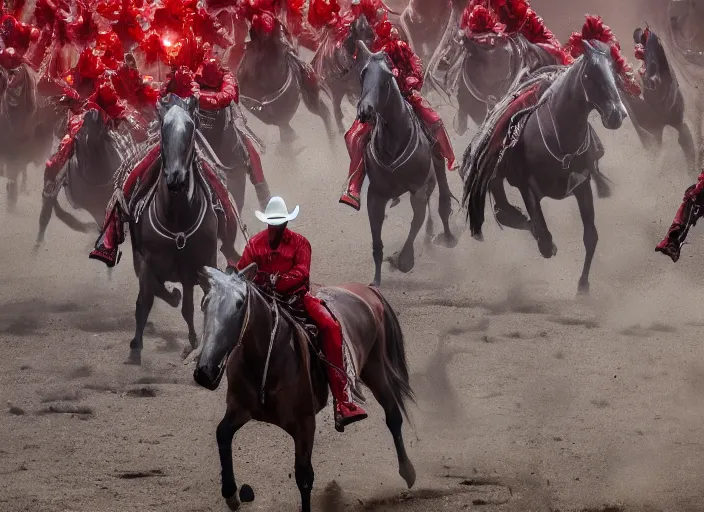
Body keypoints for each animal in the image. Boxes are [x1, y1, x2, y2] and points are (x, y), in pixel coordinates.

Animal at [125, 94, 221, 366]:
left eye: (190, 127)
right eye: (163, 127)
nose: (176, 177)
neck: (178, 222)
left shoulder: (199, 264)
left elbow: (196, 303)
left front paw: (197, 343)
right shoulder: (146, 261)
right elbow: (146, 299)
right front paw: (135, 347)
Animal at [190, 264, 416, 512]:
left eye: (240, 303)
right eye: (205, 302)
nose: (205, 372)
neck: (266, 360)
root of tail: (367, 290)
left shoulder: (304, 424)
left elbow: (304, 477)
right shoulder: (239, 410)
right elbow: (222, 433)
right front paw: (231, 493)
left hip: (374, 367)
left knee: (393, 415)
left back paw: (408, 472)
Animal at [358, 39, 456, 288]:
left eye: (387, 77)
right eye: (363, 73)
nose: (366, 110)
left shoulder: (418, 190)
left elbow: (416, 223)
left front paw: (403, 261)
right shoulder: (376, 194)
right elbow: (376, 239)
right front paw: (376, 280)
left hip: (437, 162)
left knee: (442, 202)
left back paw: (447, 237)